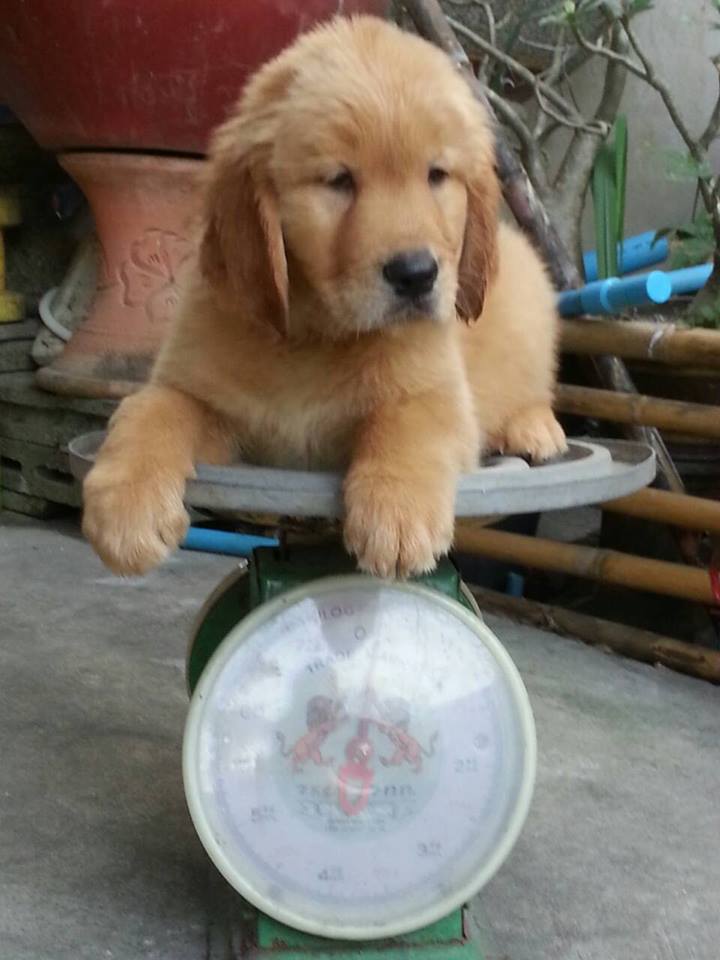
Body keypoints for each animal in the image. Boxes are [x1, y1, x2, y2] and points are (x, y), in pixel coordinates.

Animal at [82, 15, 566, 579]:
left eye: (437, 175)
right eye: (339, 181)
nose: (416, 274)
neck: (317, 336)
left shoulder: (438, 391)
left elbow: (408, 419)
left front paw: (397, 513)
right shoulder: (213, 409)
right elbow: (153, 408)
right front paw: (125, 508)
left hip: (529, 289)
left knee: (534, 384)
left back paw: (535, 428)